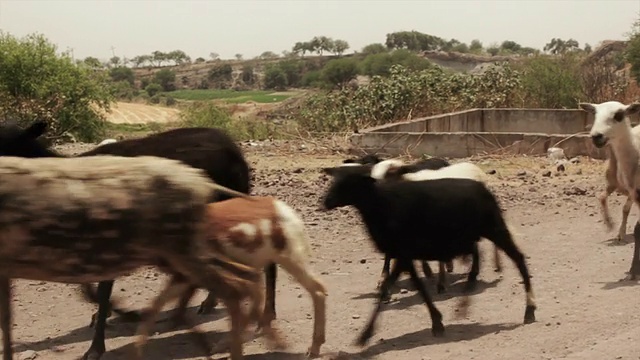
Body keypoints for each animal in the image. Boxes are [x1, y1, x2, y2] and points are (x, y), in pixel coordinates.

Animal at [0, 121, 282, 354]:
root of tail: (228, 142)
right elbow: (89, 288)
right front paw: (113, 315)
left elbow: (101, 289)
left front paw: (98, 344)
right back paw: (209, 302)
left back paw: (264, 315)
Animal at [320, 165, 536, 346]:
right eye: (335, 180)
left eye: (349, 182)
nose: (326, 201)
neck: (380, 205)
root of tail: (483, 187)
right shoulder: (404, 255)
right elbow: (418, 287)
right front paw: (437, 321)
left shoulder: (403, 253)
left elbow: (393, 290)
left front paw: (364, 335)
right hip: (469, 235)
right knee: (477, 259)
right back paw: (466, 299)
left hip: (493, 228)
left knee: (518, 259)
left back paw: (529, 310)